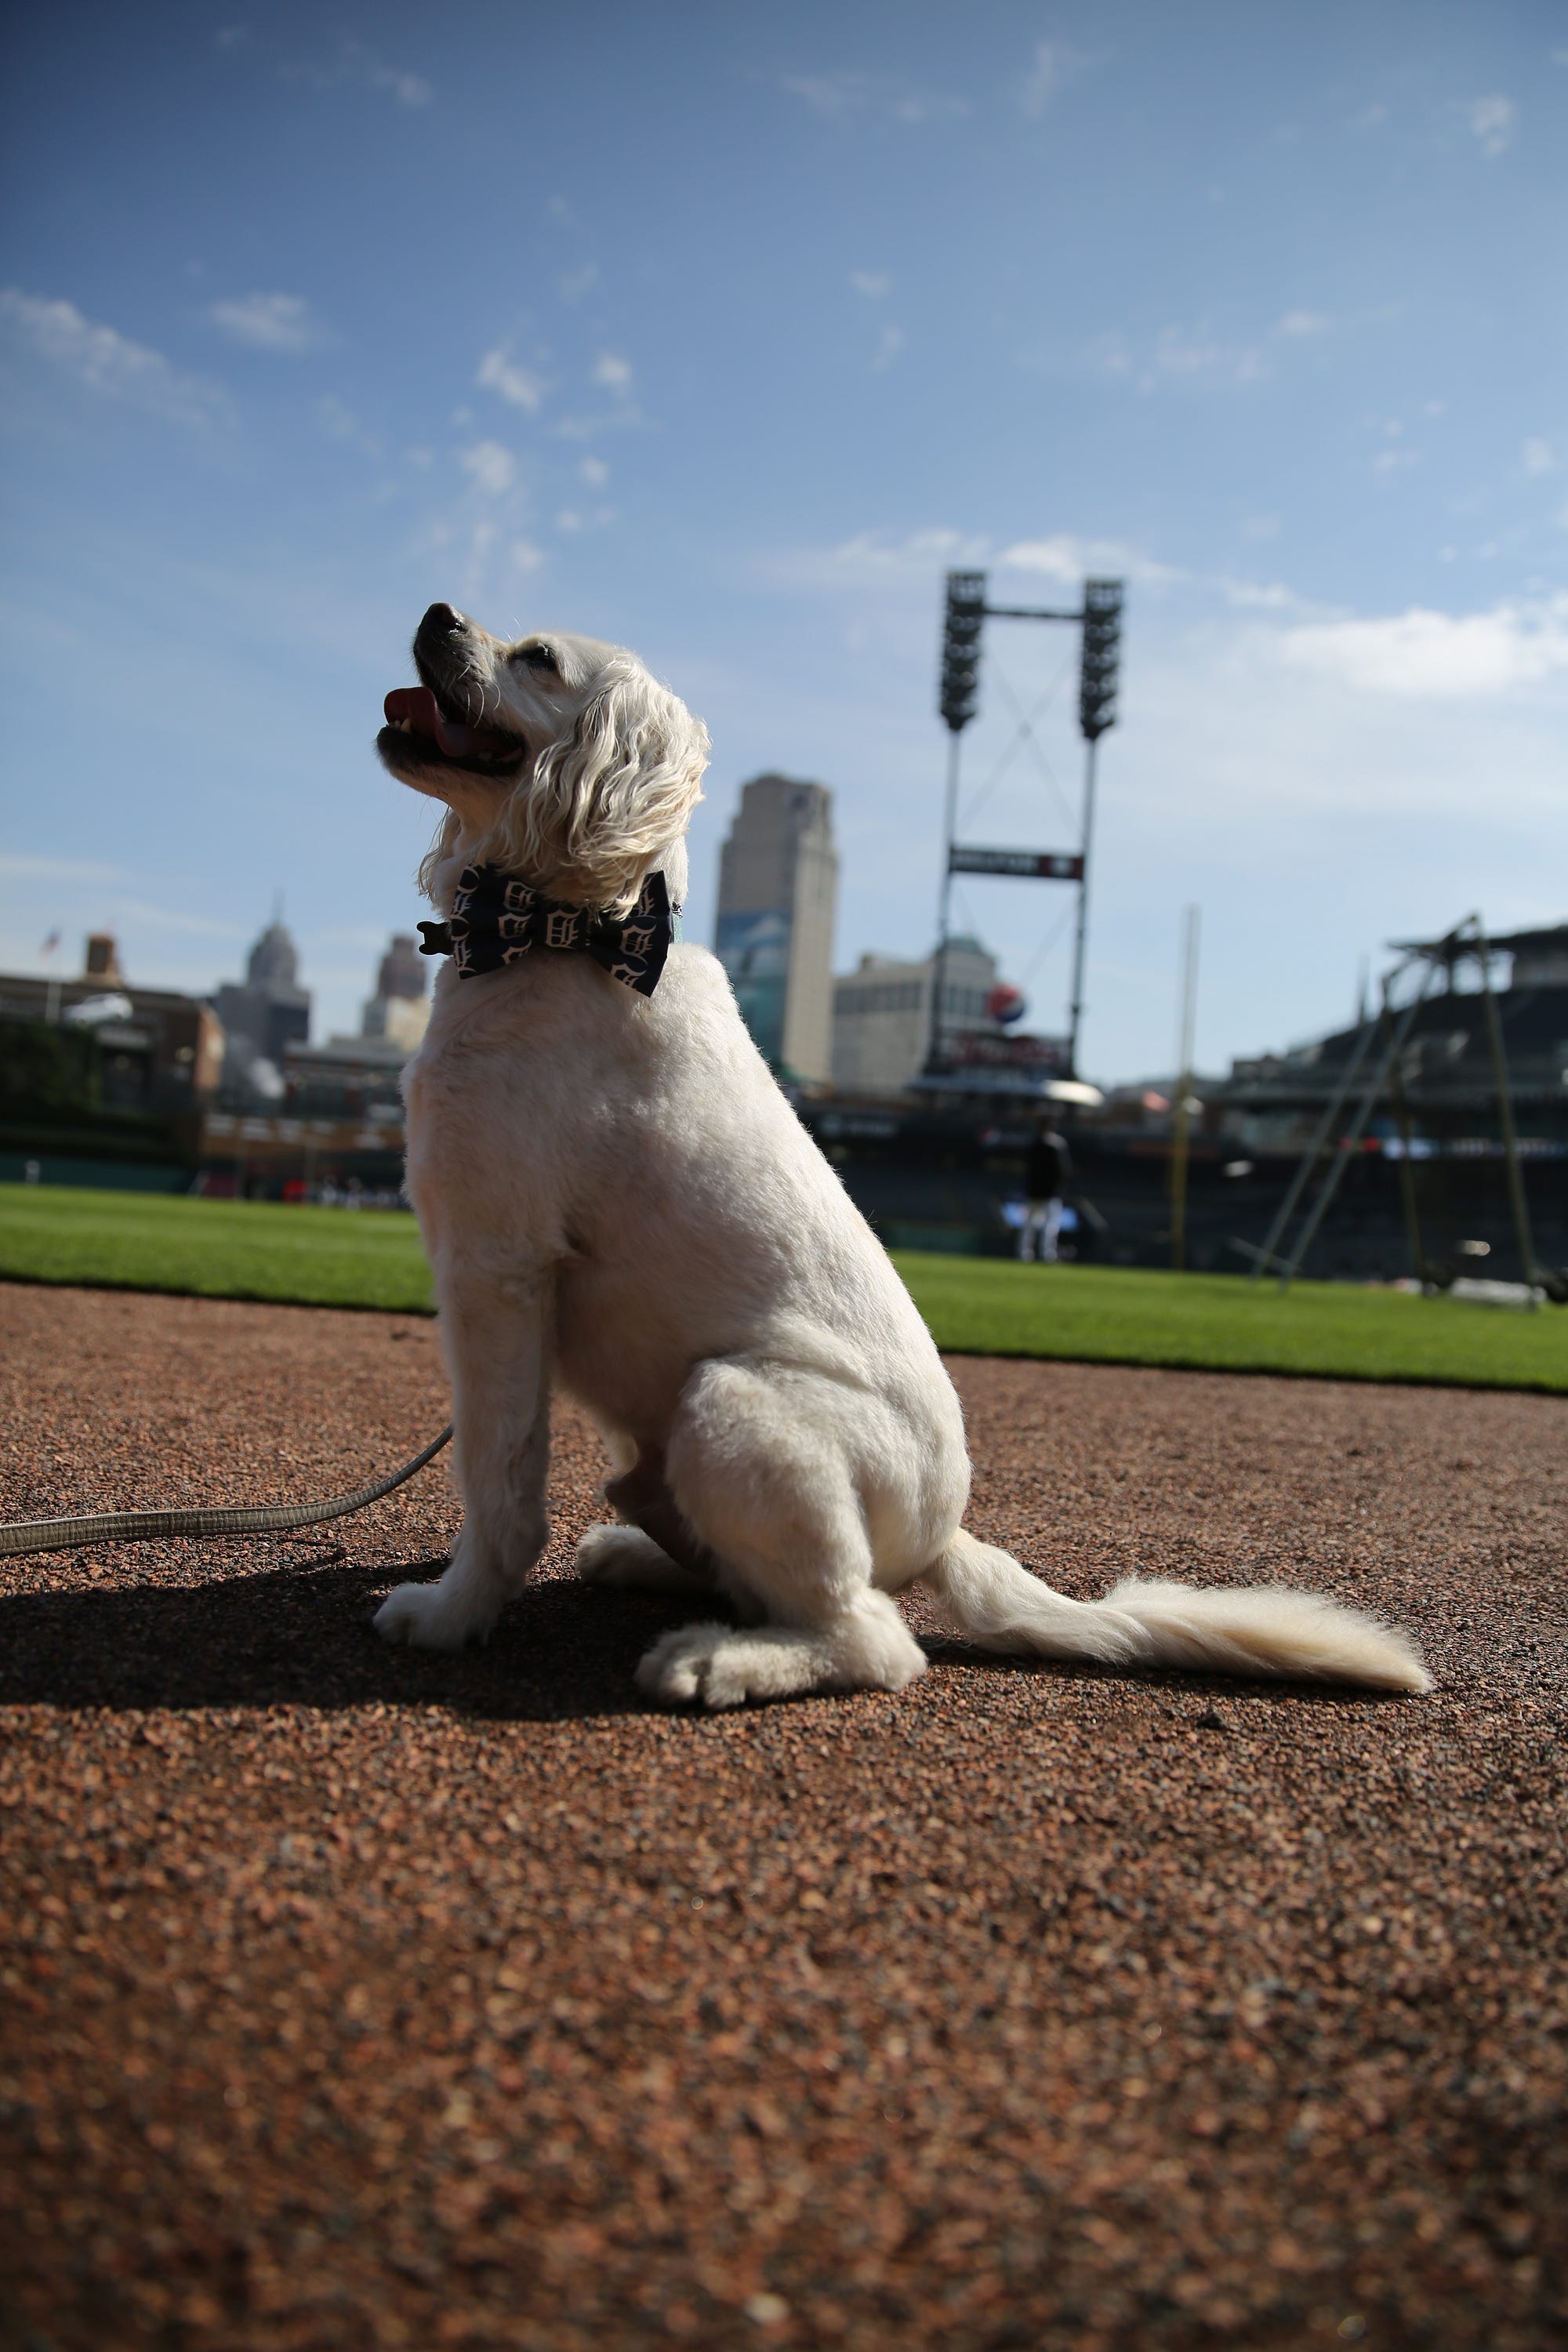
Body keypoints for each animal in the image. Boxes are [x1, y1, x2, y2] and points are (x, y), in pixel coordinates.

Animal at [373, 607, 1429, 1712]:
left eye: (537, 659)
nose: (437, 614)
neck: (561, 934)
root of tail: (940, 1541)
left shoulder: (496, 1266)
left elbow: (497, 1478)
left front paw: (451, 1614)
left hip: (729, 1404)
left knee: (872, 1639)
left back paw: (717, 1659)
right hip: (660, 1448)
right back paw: (643, 1559)